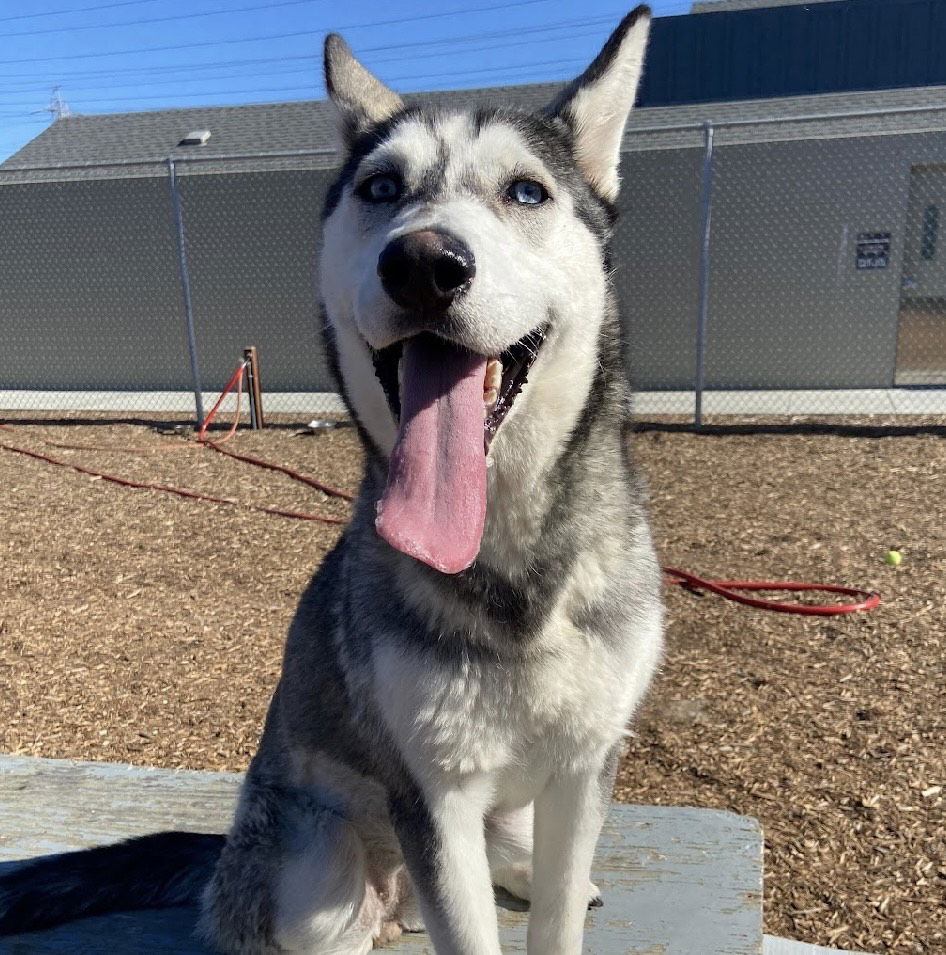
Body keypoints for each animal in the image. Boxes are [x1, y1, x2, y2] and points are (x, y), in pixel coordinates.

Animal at [0, 9, 660, 955]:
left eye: (527, 193)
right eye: (382, 188)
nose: (423, 262)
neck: (506, 552)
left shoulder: (582, 767)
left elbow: (561, 913)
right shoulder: (432, 799)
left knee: (514, 844)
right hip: (318, 869)